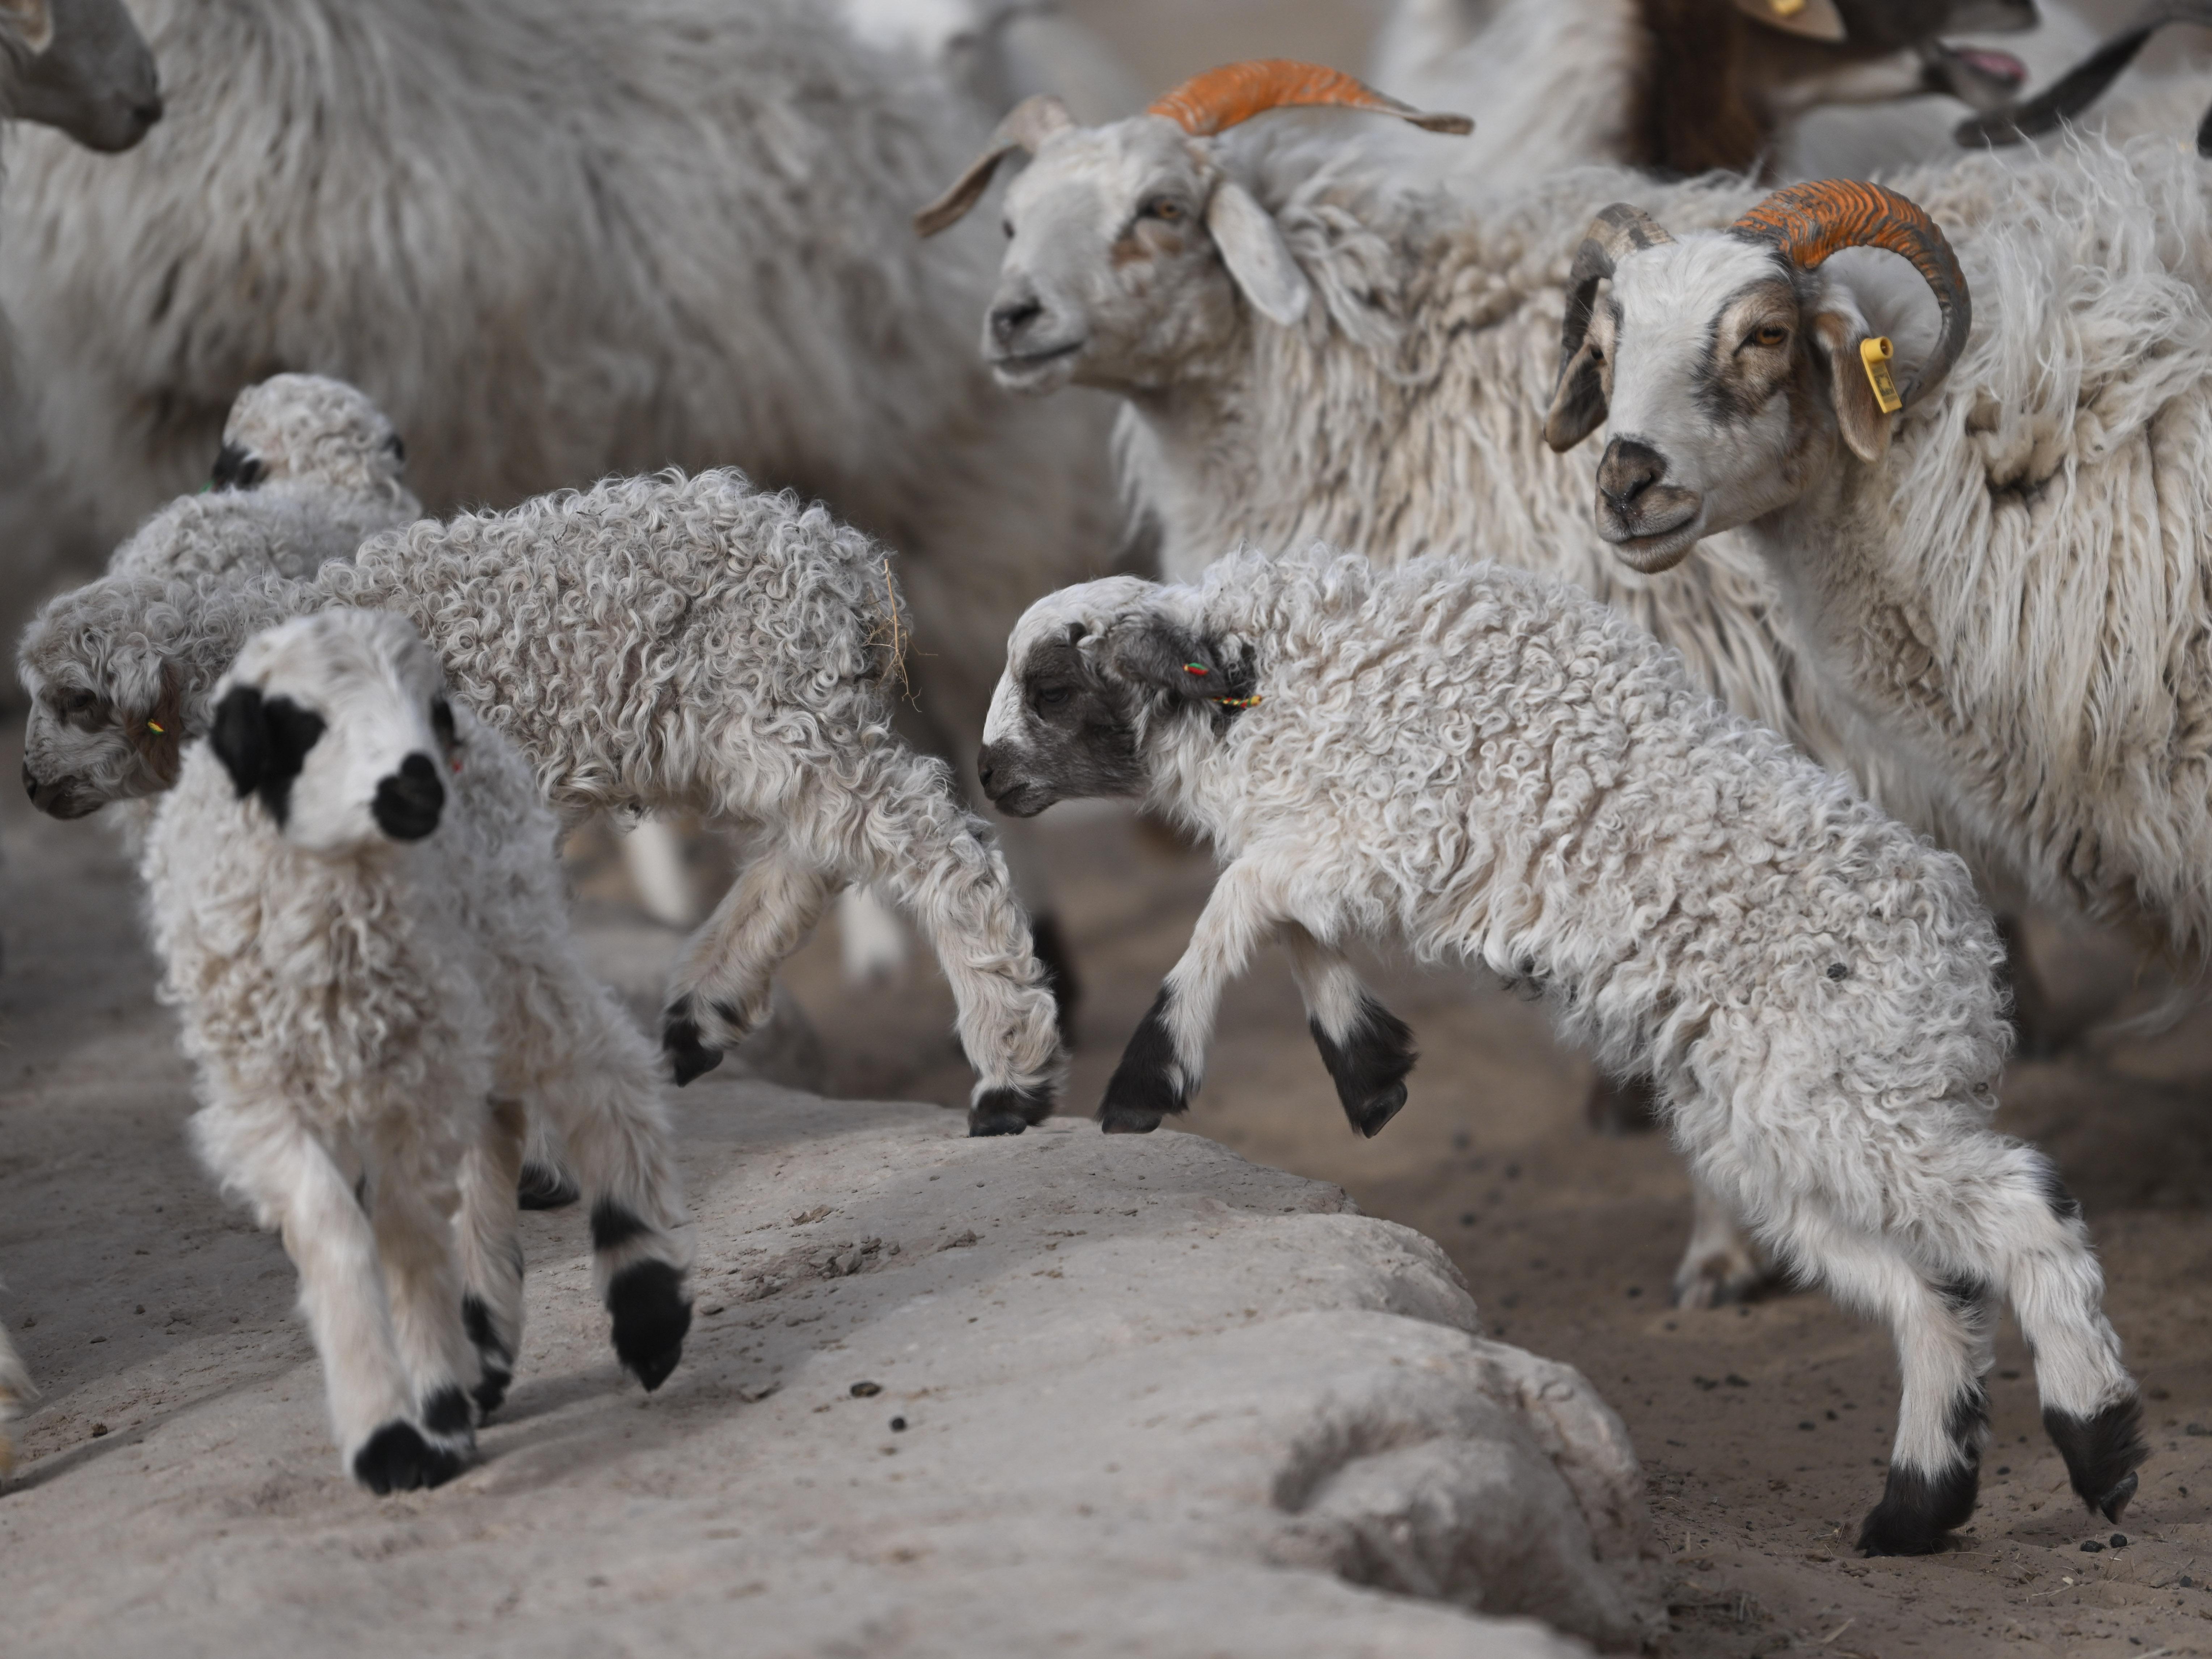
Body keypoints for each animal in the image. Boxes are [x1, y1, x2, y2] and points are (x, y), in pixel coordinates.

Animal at [21, 469, 1066, 1141]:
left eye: (76, 703)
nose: (30, 785)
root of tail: (839, 555)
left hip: (766, 702)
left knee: (930, 843)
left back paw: (1010, 1072)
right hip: (753, 720)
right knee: (823, 838)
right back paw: (704, 1007)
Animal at [143, 606, 690, 1495]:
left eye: (419, 705)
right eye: (302, 724)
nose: (416, 785)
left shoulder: (416, 1081)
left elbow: (405, 1233)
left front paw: (429, 1410)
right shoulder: (266, 1100)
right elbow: (335, 1229)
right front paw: (390, 1433)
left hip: (510, 945)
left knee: (598, 1071)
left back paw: (645, 1316)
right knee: (498, 1127)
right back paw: (488, 1348)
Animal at [973, 549, 2141, 1557]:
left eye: (1049, 686)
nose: (986, 777)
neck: (1273, 677)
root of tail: (1968, 983)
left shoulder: (1391, 826)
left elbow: (1240, 894)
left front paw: (1147, 1079)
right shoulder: (1353, 840)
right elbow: (1286, 915)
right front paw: (1370, 1069)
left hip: (1849, 1096)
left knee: (2025, 1213)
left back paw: (2098, 1447)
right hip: (1773, 1130)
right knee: (1928, 1294)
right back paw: (1915, 1510)